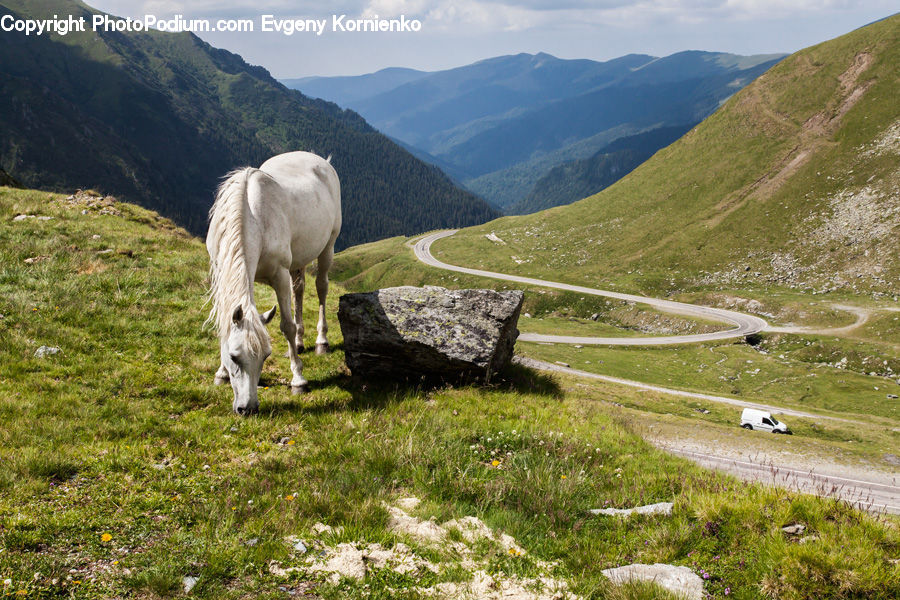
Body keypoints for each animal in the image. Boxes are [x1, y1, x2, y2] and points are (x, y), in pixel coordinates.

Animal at [206, 151, 341, 415]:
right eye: (234, 357)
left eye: (266, 357)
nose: (247, 408)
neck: (252, 216)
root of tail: (324, 162)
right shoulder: (220, 271)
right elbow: (224, 322)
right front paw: (221, 373)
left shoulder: (279, 274)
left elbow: (286, 325)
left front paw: (298, 380)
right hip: (298, 259)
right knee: (299, 289)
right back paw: (299, 343)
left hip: (327, 248)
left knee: (321, 288)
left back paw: (321, 342)